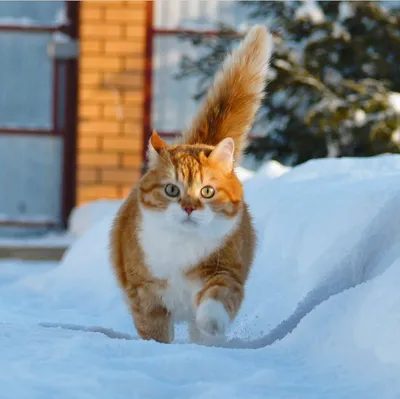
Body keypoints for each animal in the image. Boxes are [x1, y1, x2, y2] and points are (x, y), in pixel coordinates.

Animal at [109, 25, 272, 346]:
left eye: (207, 191)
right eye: (172, 189)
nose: (188, 207)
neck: (181, 248)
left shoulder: (226, 271)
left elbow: (215, 301)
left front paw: (211, 328)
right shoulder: (145, 294)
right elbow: (155, 332)